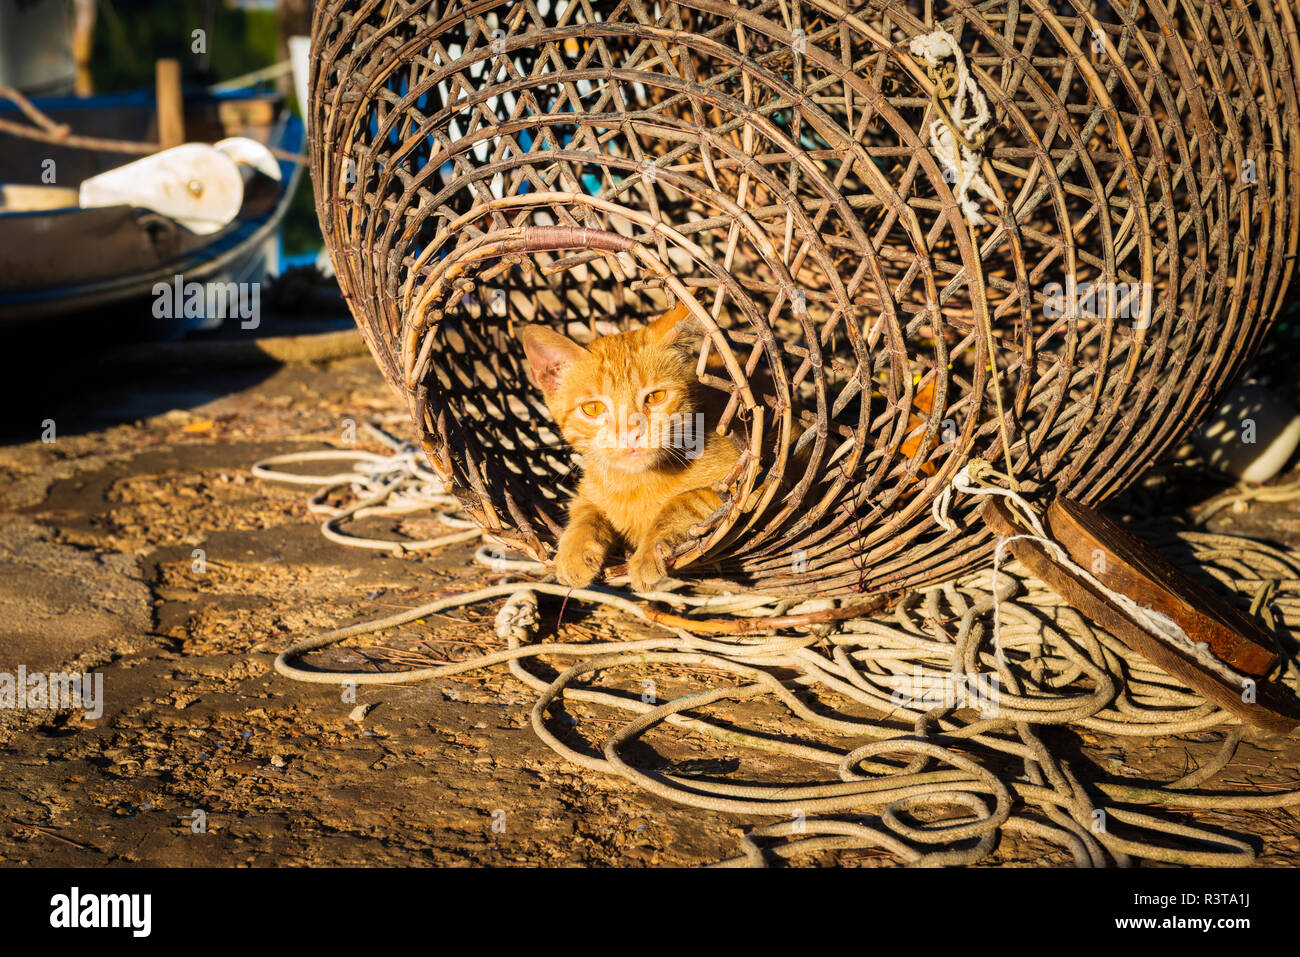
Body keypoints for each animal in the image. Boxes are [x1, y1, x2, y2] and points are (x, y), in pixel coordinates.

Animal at [517, 306, 743, 590]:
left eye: (655, 397)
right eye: (593, 408)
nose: (630, 434)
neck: (635, 484)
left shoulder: (742, 484)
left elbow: (684, 501)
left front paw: (647, 554)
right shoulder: (589, 488)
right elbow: (584, 512)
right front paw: (573, 550)